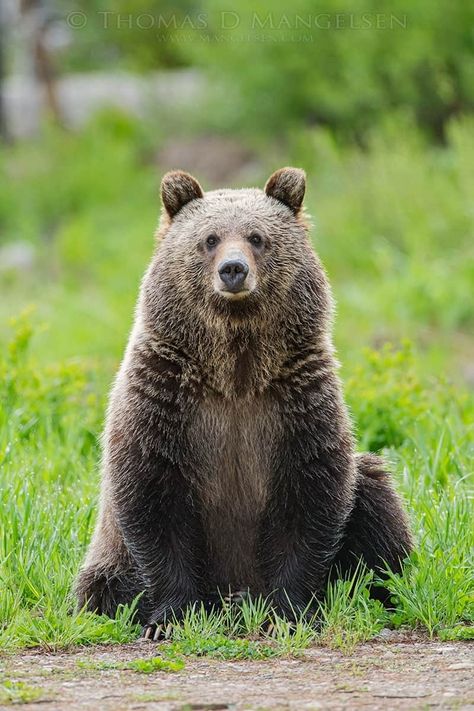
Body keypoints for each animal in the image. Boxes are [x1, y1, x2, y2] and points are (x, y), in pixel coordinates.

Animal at [76, 168, 412, 640]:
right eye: (210, 238)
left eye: (257, 237)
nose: (232, 270)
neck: (235, 369)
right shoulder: (165, 400)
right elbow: (154, 500)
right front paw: (170, 617)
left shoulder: (296, 403)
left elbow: (309, 500)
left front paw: (288, 613)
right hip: (108, 562)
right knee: (102, 589)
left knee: (377, 498)